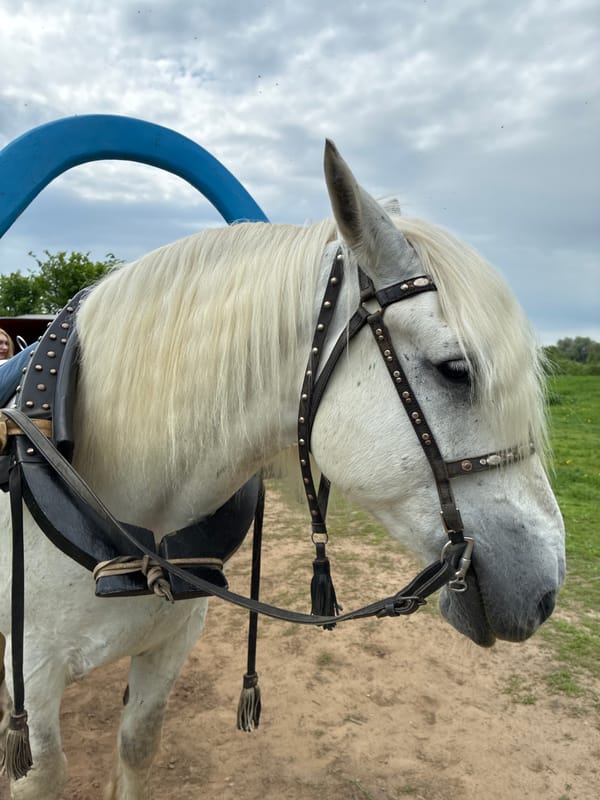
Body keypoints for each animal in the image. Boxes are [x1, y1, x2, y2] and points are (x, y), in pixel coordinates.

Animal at [0, 140, 565, 799]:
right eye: (456, 370)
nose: (545, 590)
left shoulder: (169, 643)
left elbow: (138, 744)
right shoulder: (34, 668)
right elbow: (42, 772)